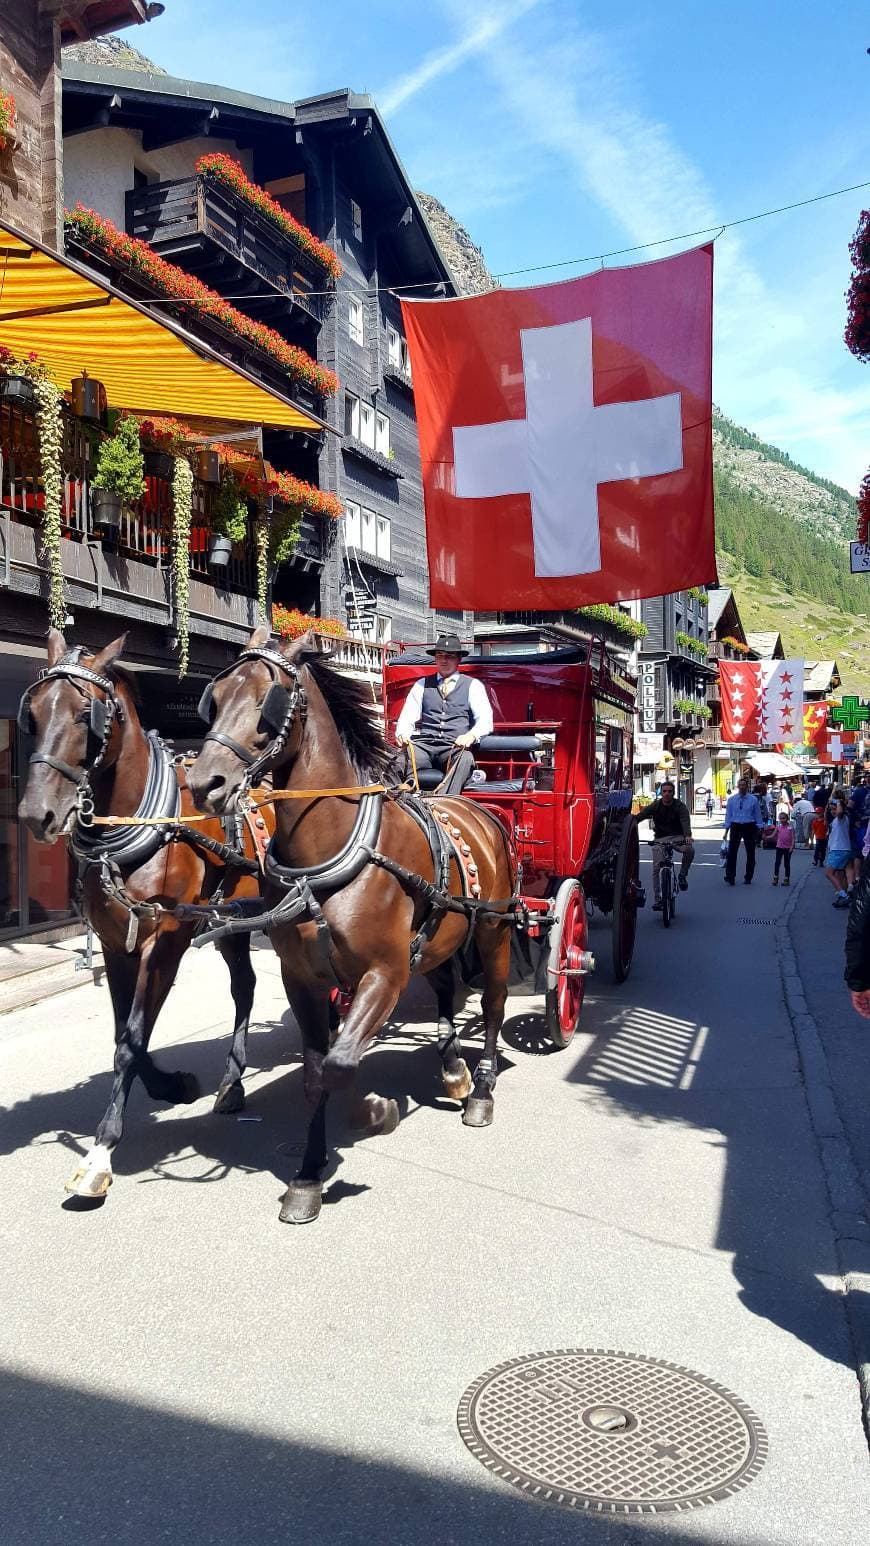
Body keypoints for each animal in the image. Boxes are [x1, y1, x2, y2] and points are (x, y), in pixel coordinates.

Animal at [17, 624, 275, 1193]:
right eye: (34, 714)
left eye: (84, 714)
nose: (34, 814)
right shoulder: (116, 941)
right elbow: (123, 1031)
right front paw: (169, 1084)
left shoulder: (169, 937)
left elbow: (133, 1033)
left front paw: (101, 1149)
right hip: (234, 919)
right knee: (244, 988)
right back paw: (232, 1083)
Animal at [189, 624, 516, 1218]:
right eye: (215, 699)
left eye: (268, 702)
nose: (205, 785)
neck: (329, 852)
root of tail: (478, 809)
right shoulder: (303, 978)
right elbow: (317, 1072)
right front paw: (308, 1175)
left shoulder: (383, 973)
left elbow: (342, 1064)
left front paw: (374, 1112)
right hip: (438, 934)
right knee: (444, 988)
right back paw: (453, 1069)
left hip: (494, 929)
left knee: (496, 1004)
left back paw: (480, 1090)